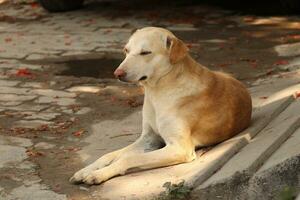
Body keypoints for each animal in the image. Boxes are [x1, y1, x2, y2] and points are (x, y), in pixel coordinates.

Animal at [69, 27, 251, 185]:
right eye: (126, 50)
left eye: (145, 52)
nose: (117, 74)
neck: (156, 93)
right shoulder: (148, 139)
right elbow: (109, 155)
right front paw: (86, 170)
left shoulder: (179, 148)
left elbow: (129, 158)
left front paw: (99, 174)